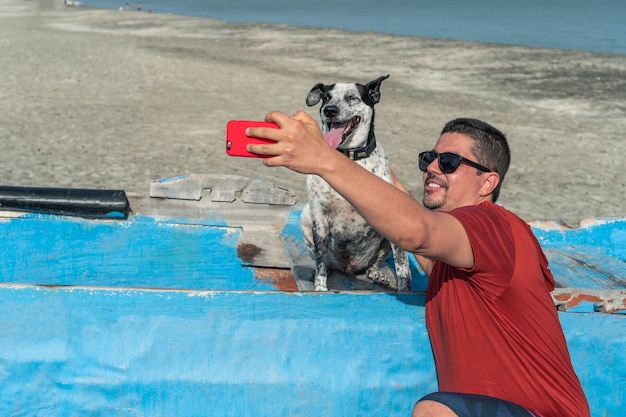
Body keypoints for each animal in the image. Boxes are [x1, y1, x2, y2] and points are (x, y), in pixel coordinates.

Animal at [298, 74, 410, 290]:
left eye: (352, 97)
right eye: (326, 97)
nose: (330, 110)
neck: (346, 162)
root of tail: (349, 268)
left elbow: (403, 270)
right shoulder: (320, 219)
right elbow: (320, 261)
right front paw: (320, 288)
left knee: (372, 265)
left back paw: (377, 274)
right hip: (306, 217)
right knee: (322, 260)